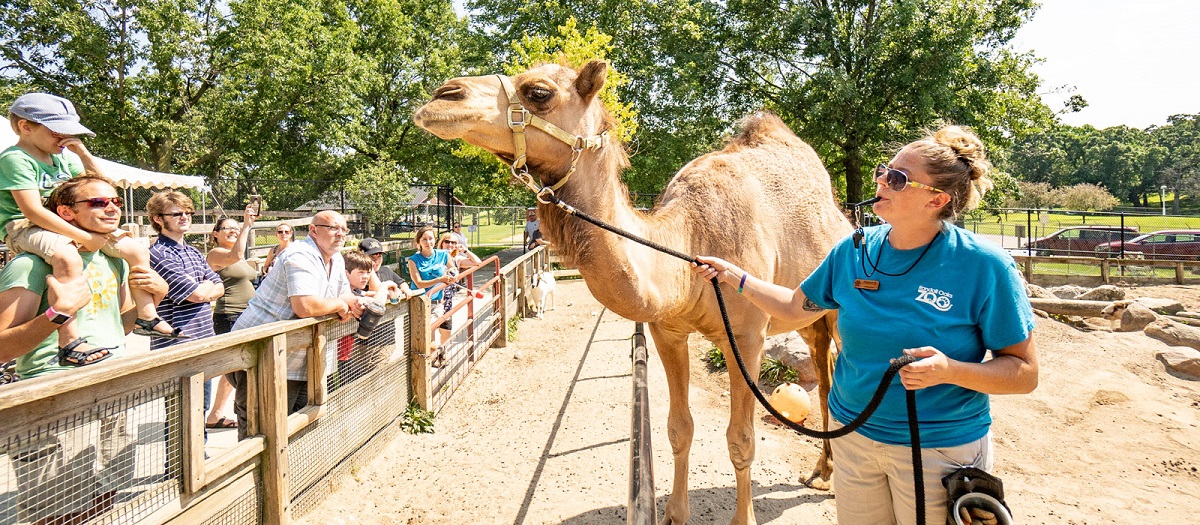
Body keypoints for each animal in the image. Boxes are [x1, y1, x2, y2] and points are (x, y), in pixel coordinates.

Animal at [412, 59, 854, 522]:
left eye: (539, 92)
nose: (443, 96)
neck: (690, 249)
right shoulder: (667, 331)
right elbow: (679, 428)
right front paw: (674, 512)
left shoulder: (747, 336)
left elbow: (741, 440)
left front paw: (743, 518)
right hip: (805, 315)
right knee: (824, 378)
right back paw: (821, 471)